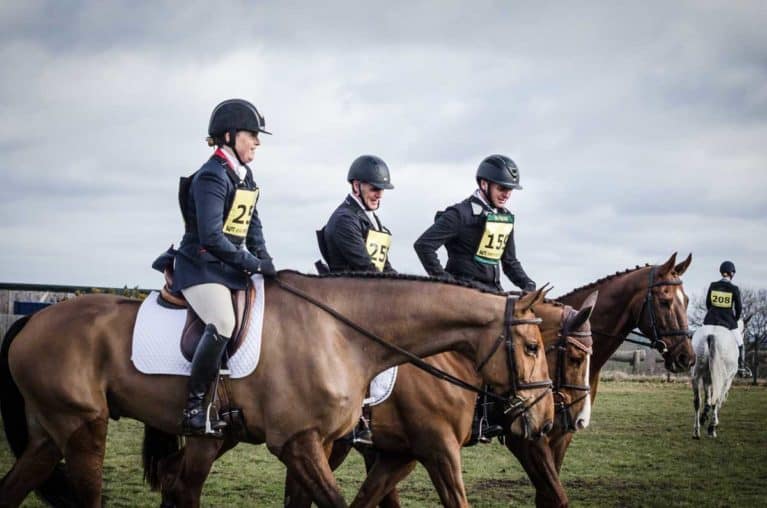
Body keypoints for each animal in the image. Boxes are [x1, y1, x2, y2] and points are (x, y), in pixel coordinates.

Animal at [0, 272, 552, 508]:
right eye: (530, 345)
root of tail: (35, 318)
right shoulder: (303, 442)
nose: (545, 419)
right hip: (82, 425)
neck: (343, 333)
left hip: (55, 432)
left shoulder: (336, 446)